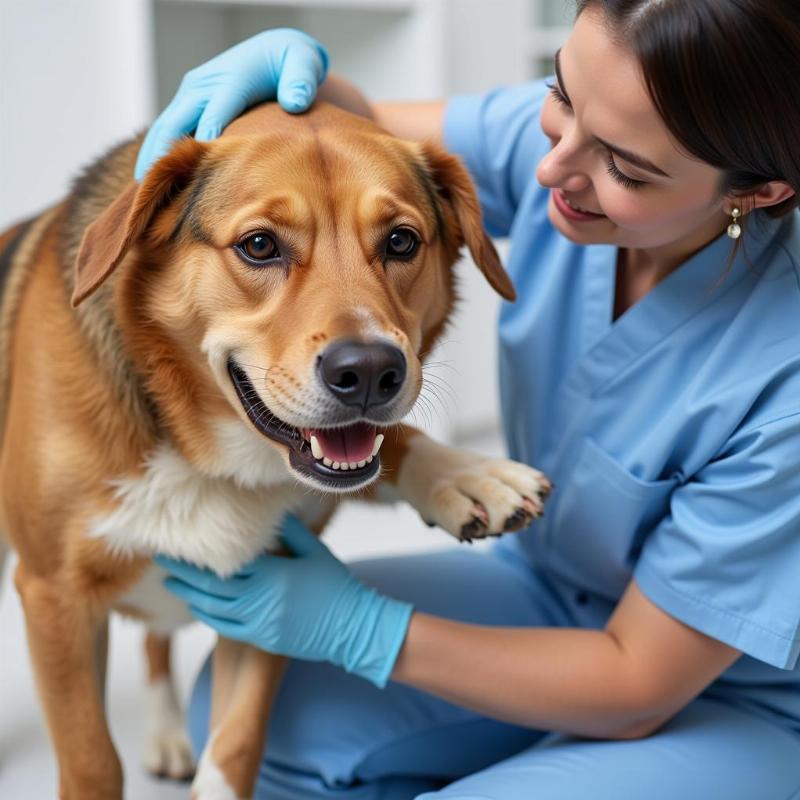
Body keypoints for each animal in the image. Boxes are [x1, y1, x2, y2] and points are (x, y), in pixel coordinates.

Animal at [0, 101, 552, 800]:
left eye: (401, 241)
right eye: (260, 246)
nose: (369, 372)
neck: (202, 447)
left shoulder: (272, 591)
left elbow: (236, 746)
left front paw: (468, 475)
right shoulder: (54, 598)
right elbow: (93, 763)